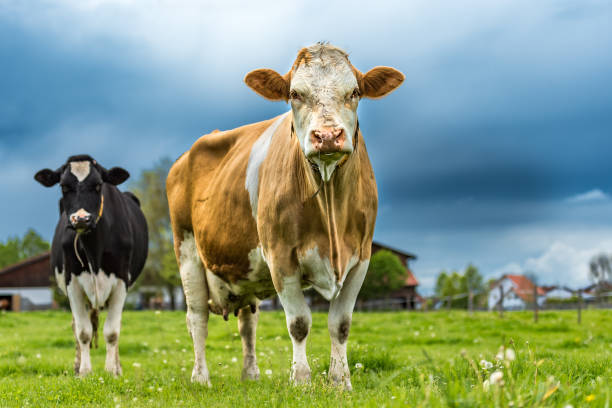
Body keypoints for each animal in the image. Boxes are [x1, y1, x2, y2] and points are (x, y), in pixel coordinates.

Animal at [35, 155, 148, 376]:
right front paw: (85, 371)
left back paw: (118, 367)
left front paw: (112, 371)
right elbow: (83, 332)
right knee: (76, 326)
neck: (93, 249)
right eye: (64, 186)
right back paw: (77, 366)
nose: (81, 219)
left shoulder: (121, 281)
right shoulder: (72, 283)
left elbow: (112, 332)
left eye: (97, 185)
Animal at [167, 43, 406, 390]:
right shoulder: (280, 255)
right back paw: (200, 377)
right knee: (197, 318)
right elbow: (299, 323)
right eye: (295, 93)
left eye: (355, 92)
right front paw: (302, 380)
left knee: (247, 321)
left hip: (244, 271)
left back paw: (251, 375)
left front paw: (340, 381)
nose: (328, 136)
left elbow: (341, 324)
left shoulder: (361, 256)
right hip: (187, 251)